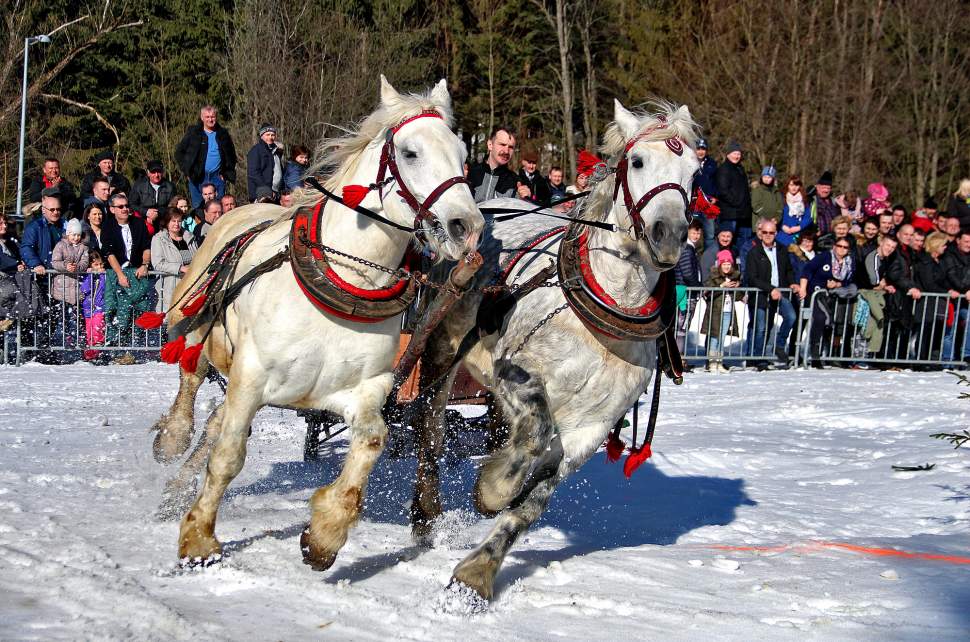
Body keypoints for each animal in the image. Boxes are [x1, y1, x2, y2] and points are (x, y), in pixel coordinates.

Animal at [149, 77, 482, 568]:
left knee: (214, 423)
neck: (345, 277)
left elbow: (372, 439)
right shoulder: (252, 376)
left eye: (462, 154)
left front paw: (325, 533)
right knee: (190, 390)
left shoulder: (358, 389)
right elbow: (228, 456)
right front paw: (199, 538)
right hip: (196, 333)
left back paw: (177, 488)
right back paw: (171, 443)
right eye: (410, 152)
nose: (467, 226)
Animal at [406, 100, 696, 600]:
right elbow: (535, 430)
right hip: (444, 346)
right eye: (638, 162)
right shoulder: (513, 368)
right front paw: (493, 487)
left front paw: (478, 571)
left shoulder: (589, 432)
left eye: (694, 172)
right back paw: (426, 510)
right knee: (432, 425)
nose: (669, 234)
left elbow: (531, 504)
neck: (606, 312)